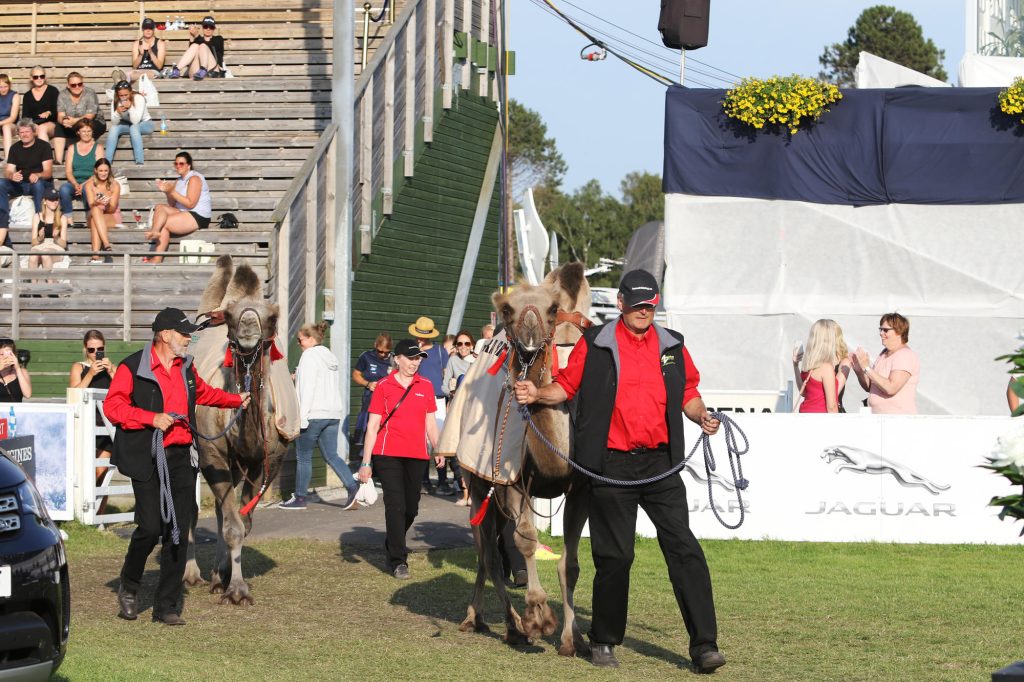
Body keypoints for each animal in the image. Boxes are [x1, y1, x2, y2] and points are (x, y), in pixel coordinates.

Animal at [182, 253, 299, 602]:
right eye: (233, 317)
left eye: (272, 316)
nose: (248, 328)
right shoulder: (212, 452)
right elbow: (233, 526)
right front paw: (236, 590)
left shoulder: (268, 459)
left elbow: (242, 523)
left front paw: (228, 580)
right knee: (192, 510)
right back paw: (191, 574)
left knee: (223, 511)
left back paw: (216, 573)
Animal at [440, 260, 593, 655]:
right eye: (507, 309)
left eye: (552, 309)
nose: (529, 342)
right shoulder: (511, 482)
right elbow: (525, 540)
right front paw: (538, 616)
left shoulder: (581, 488)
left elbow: (570, 563)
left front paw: (572, 639)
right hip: (478, 482)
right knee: (488, 553)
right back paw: (505, 625)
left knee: (487, 550)